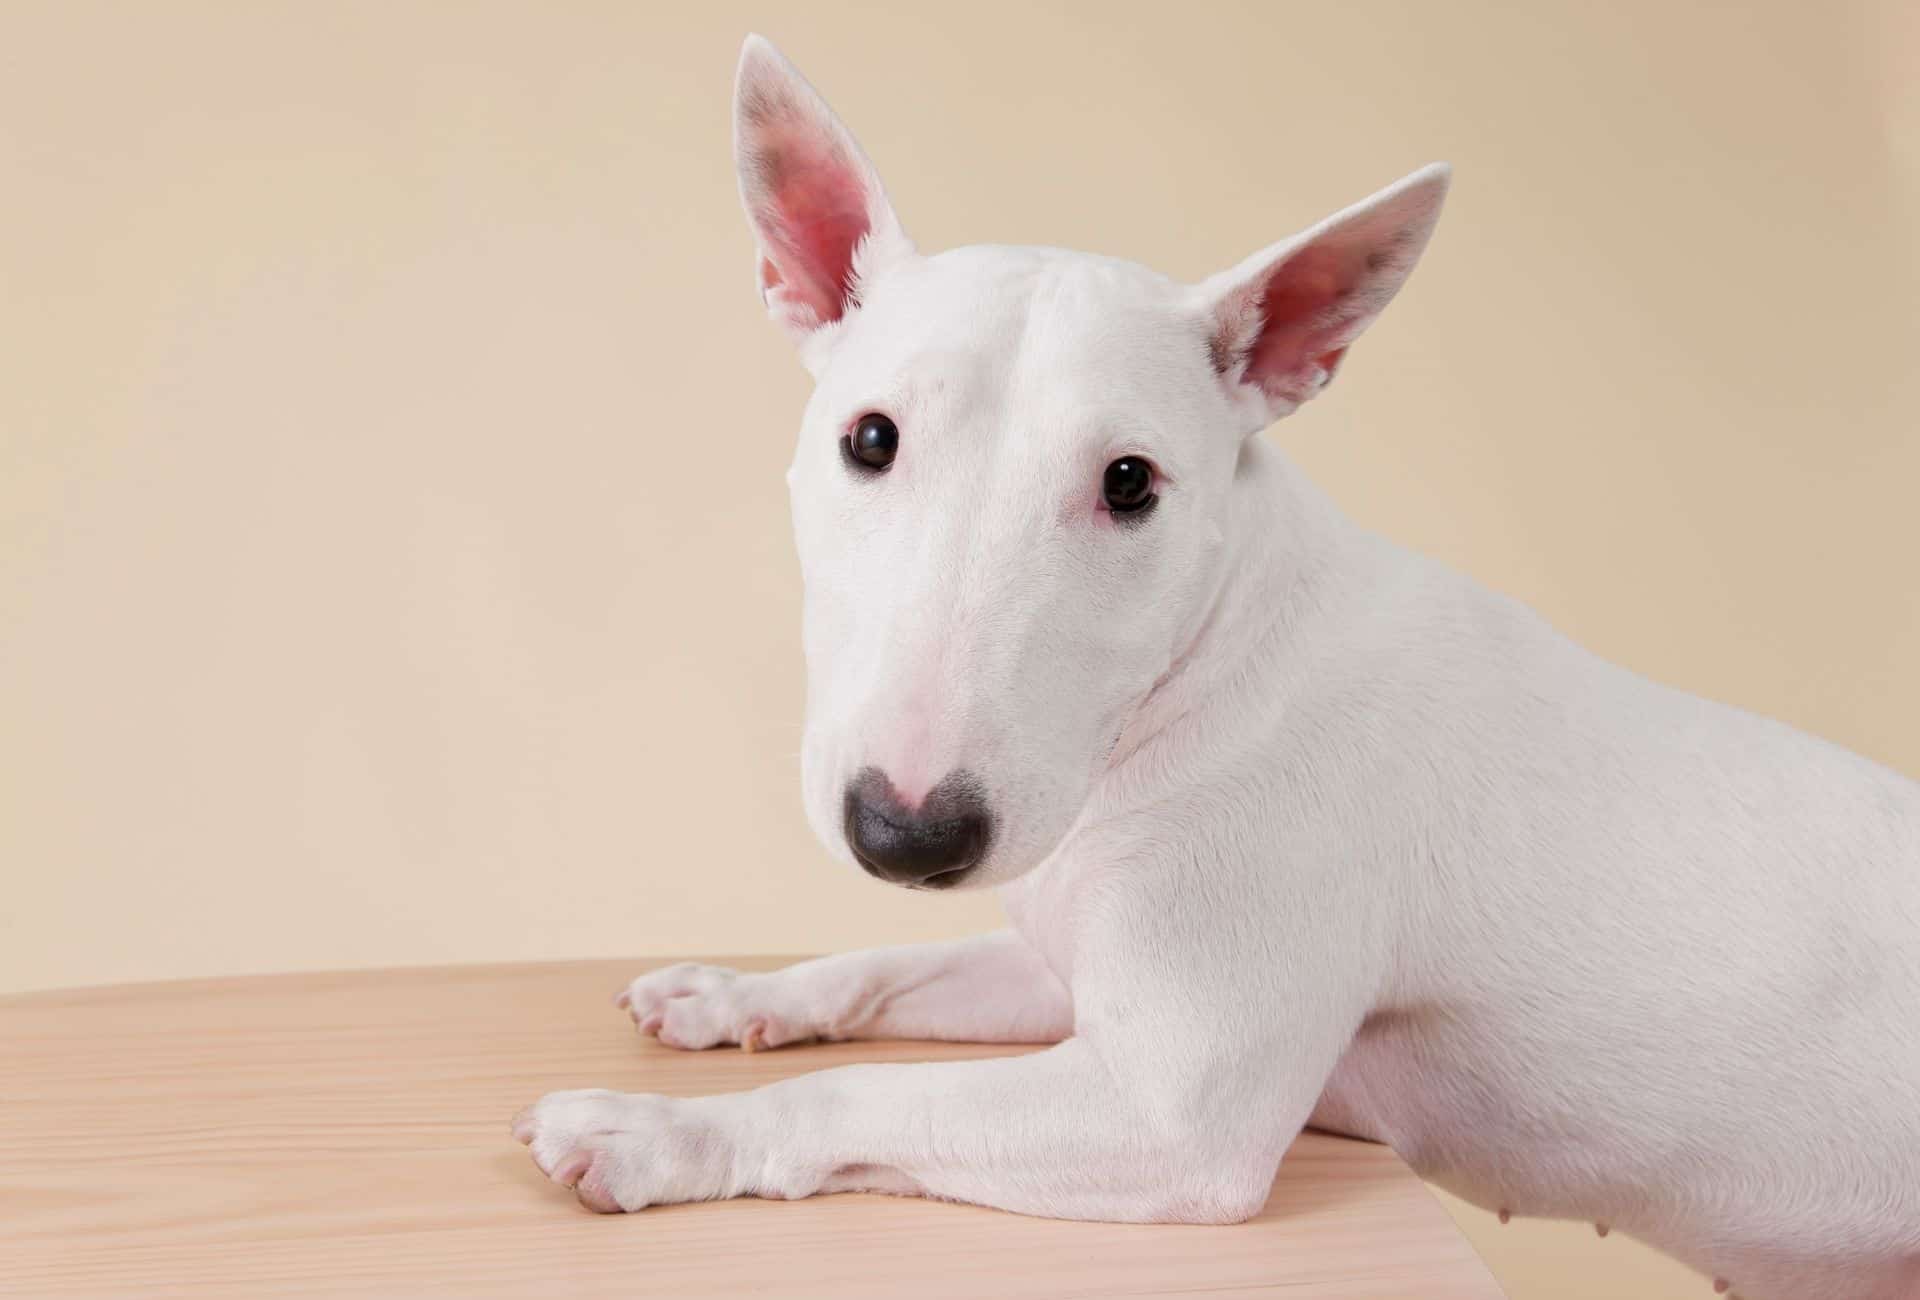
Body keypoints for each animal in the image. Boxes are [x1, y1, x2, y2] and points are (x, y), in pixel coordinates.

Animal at [514, 35, 1920, 1290]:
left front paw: (655, 1132)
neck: (1191, 682)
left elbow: (865, 1096)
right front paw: (729, 992)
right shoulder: (1059, 955)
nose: (908, 837)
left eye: (1130, 482)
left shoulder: (1172, 1116)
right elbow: (884, 969)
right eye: (871, 437)